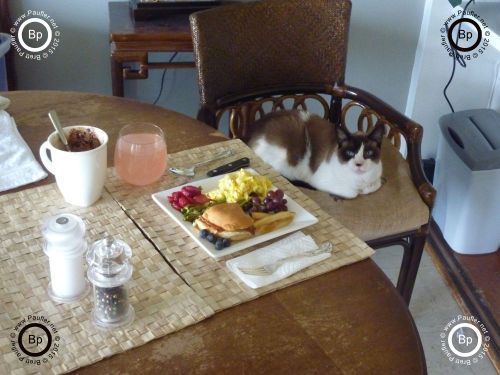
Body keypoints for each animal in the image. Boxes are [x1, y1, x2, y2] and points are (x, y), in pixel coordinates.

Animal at [248, 110, 384, 200]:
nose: (359, 164)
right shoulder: (320, 181)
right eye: (350, 153)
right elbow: (354, 193)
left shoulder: (376, 181)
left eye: (368, 153)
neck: (360, 180)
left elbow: (375, 186)